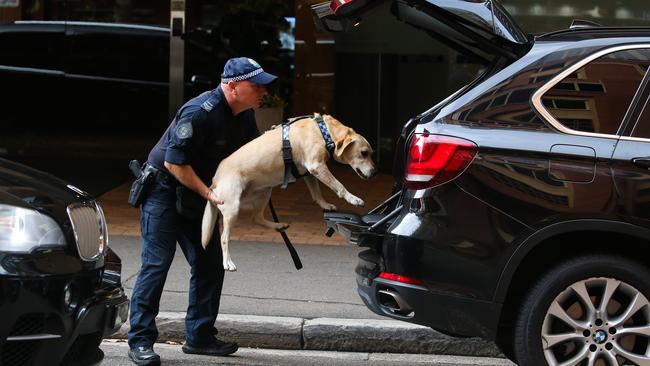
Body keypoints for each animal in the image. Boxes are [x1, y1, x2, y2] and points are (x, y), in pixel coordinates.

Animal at [201, 114, 374, 272]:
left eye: (370, 153)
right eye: (364, 153)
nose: (374, 172)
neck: (324, 131)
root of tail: (214, 181)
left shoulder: (309, 173)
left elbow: (316, 193)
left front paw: (325, 204)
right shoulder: (316, 166)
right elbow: (339, 185)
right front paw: (353, 199)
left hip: (265, 192)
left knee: (256, 218)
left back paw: (278, 225)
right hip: (233, 208)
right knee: (224, 238)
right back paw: (227, 262)